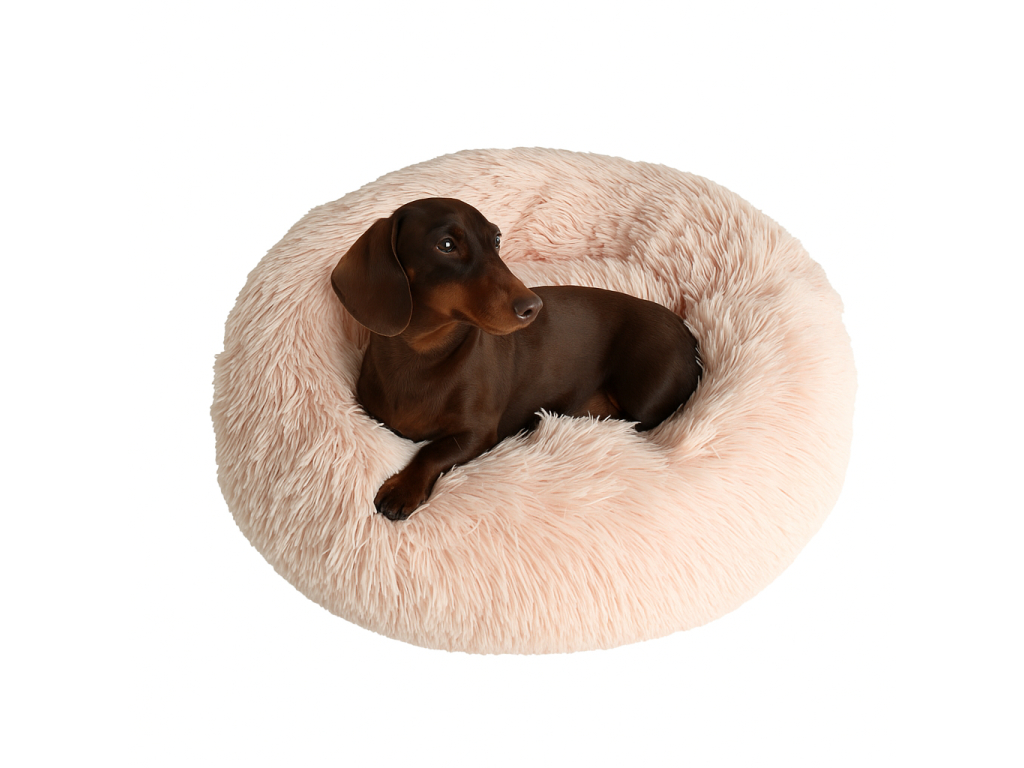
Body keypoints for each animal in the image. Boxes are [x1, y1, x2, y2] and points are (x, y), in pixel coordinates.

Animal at [332, 198, 701, 520]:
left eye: (496, 239)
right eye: (446, 245)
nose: (532, 306)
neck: (423, 355)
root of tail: (689, 334)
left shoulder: (478, 433)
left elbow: (431, 451)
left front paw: (402, 490)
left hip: (644, 399)